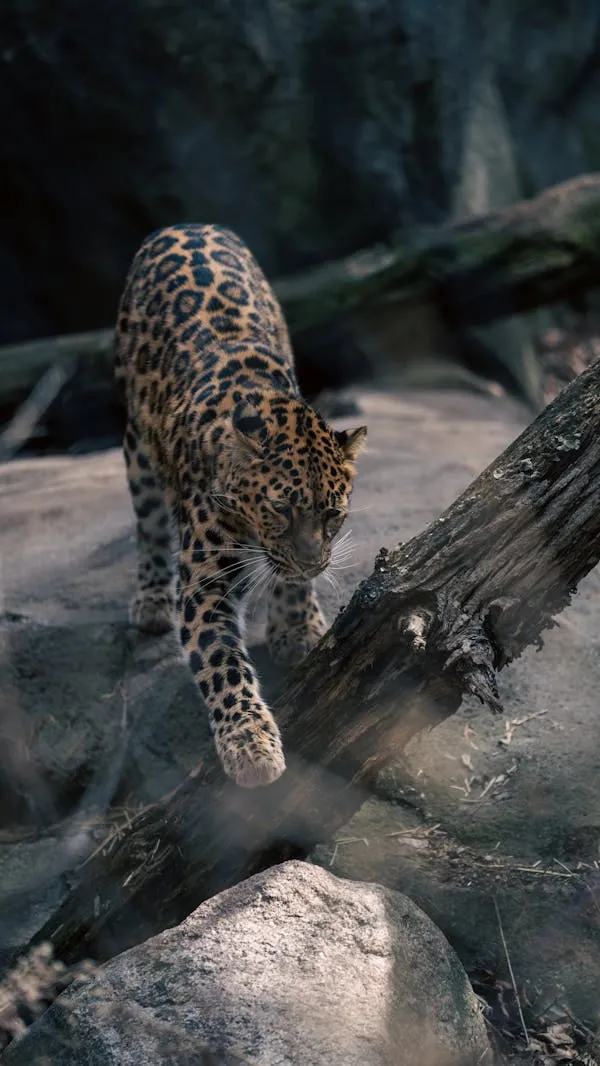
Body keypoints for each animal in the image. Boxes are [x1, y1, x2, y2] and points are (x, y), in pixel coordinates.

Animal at [115, 223, 367, 789]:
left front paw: (297, 627)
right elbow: (222, 665)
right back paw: (150, 599)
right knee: (147, 523)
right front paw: (250, 746)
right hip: (137, 442)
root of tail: (184, 225)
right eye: (279, 509)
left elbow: (291, 585)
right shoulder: (204, 586)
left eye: (332, 515)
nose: (313, 562)